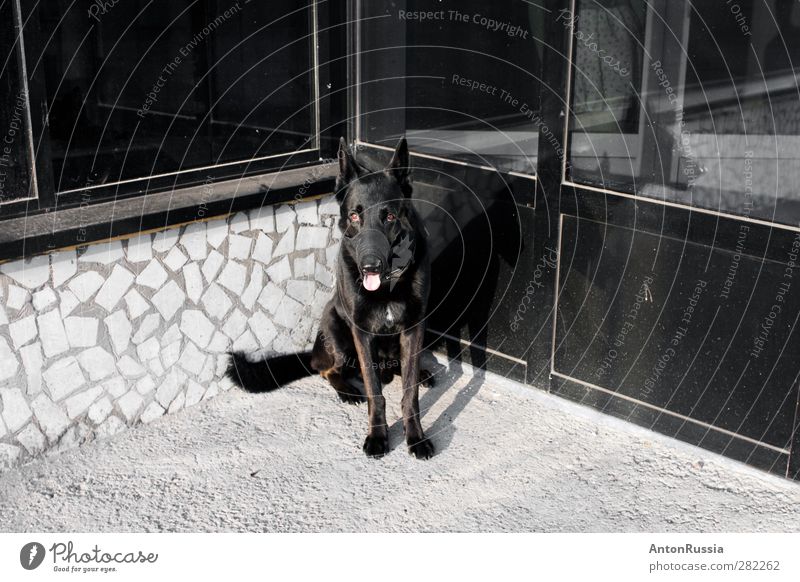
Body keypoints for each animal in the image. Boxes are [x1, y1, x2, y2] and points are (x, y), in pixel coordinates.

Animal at [228, 137, 434, 460]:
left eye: (389, 216)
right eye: (354, 216)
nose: (370, 266)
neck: (388, 286)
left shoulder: (414, 328)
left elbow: (409, 393)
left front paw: (415, 436)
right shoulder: (361, 333)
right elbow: (375, 393)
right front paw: (378, 436)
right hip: (336, 331)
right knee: (326, 370)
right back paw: (348, 390)